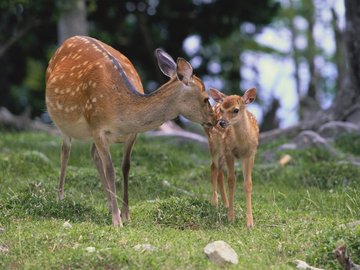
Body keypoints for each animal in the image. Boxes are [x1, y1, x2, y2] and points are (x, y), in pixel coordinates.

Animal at [44, 35, 214, 226]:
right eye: (206, 98)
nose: (215, 120)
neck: (121, 112)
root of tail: (69, 39)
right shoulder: (97, 128)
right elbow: (110, 169)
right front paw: (117, 222)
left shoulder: (132, 134)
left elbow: (126, 167)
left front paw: (125, 214)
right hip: (63, 122)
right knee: (65, 151)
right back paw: (60, 199)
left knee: (93, 154)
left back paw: (111, 205)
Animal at [202, 87, 258, 227]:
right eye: (222, 110)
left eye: (235, 110)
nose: (221, 122)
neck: (242, 143)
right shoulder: (229, 152)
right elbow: (231, 181)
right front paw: (231, 218)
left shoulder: (250, 154)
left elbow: (248, 184)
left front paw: (250, 222)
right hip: (214, 146)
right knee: (213, 167)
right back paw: (215, 202)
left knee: (219, 172)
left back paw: (225, 204)